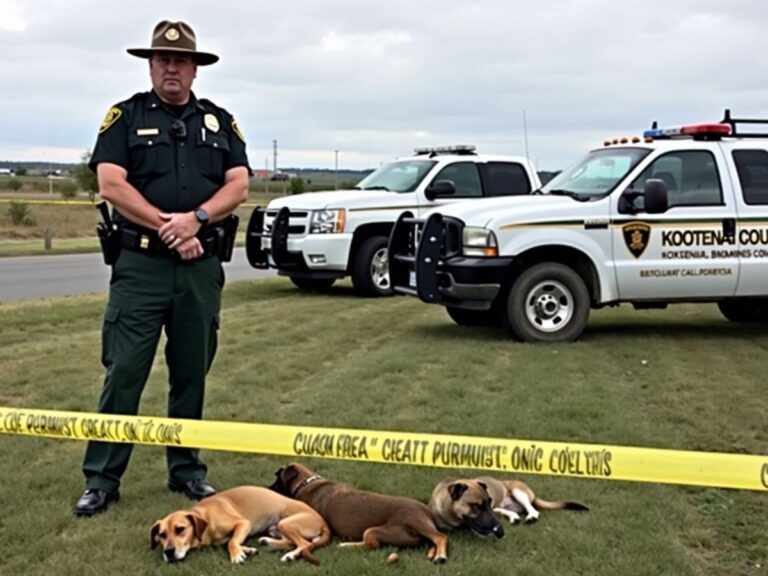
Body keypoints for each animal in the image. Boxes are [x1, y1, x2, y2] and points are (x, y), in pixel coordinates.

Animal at [149, 486, 330, 564]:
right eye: (162, 535)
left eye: (180, 529)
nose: (168, 552)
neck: (205, 515)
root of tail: (324, 522)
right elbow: (231, 542)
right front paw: (247, 550)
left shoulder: (243, 523)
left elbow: (231, 542)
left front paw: (237, 555)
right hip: (276, 527)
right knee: (291, 541)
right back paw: (268, 542)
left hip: (286, 523)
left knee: (304, 543)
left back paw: (290, 555)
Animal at [270, 464, 450, 564]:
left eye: (277, 479)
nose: (268, 488)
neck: (306, 483)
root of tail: (426, 511)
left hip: (379, 529)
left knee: (439, 537)